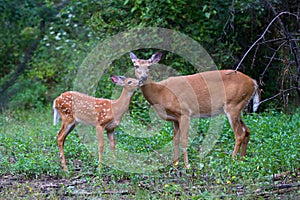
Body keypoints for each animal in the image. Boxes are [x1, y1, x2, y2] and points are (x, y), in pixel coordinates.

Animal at [130, 51, 258, 167]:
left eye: (149, 66)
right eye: (136, 65)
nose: (143, 77)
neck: (161, 92)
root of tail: (253, 82)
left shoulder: (185, 112)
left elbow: (184, 140)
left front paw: (186, 166)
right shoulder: (175, 119)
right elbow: (175, 140)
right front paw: (175, 164)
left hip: (233, 105)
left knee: (239, 134)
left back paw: (232, 160)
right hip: (239, 107)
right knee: (247, 131)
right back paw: (241, 159)